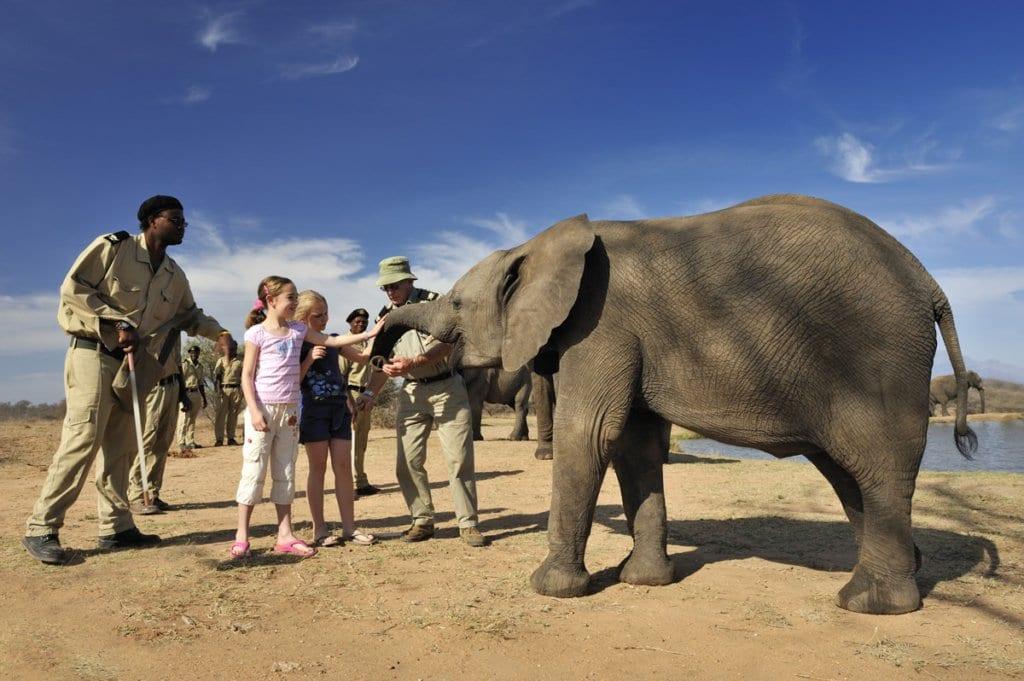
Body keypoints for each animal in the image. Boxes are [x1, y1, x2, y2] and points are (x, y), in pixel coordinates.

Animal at [372, 192, 978, 614]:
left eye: (455, 303)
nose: (381, 358)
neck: (538, 243)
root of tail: (930, 283)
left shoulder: (600, 325)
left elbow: (590, 433)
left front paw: (551, 589)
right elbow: (632, 445)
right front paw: (642, 581)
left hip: (879, 358)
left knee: (876, 468)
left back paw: (870, 604)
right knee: (851, 476)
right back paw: (899, 575)